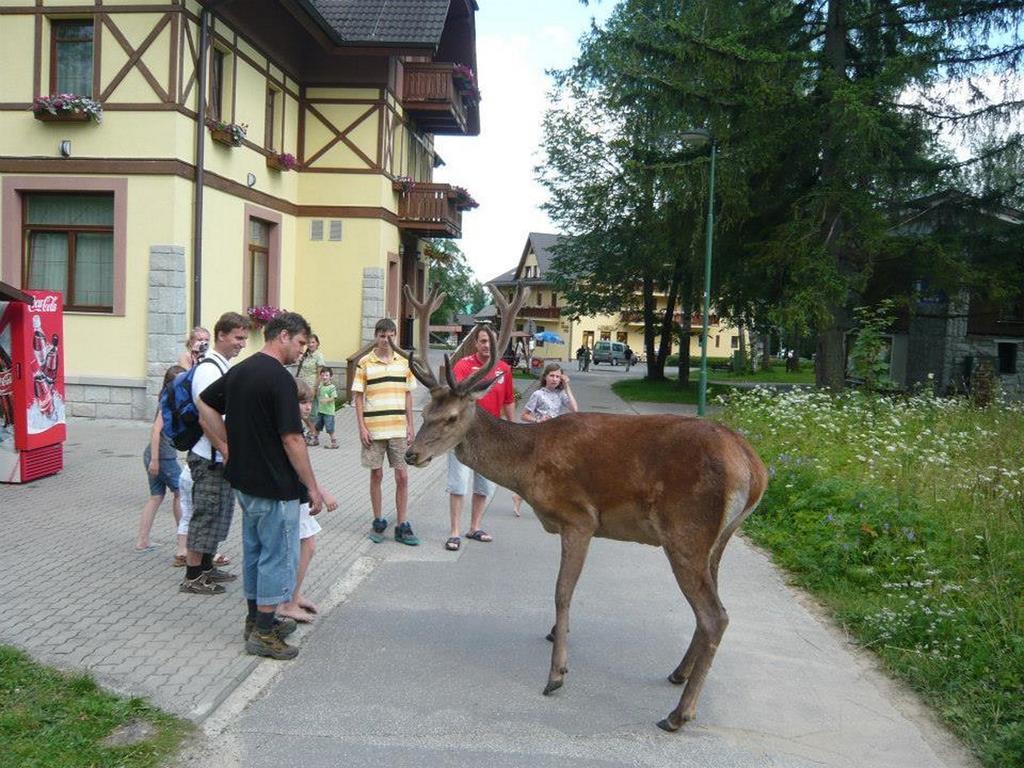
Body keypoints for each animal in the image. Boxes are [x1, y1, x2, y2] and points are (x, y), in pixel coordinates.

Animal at [393, 282, 770, 733]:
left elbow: (561, 591)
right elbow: (568, 591)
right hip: (718, 538)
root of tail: (753, 467)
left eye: (450, 417)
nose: (411, 454)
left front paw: (555, 675)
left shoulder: (579, 517)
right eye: (425, 412)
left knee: (715, 615)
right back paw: (678, 674)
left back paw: (678, 713)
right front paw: (557, 640)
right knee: (712, 608)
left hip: (687, 532)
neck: (528, 463)